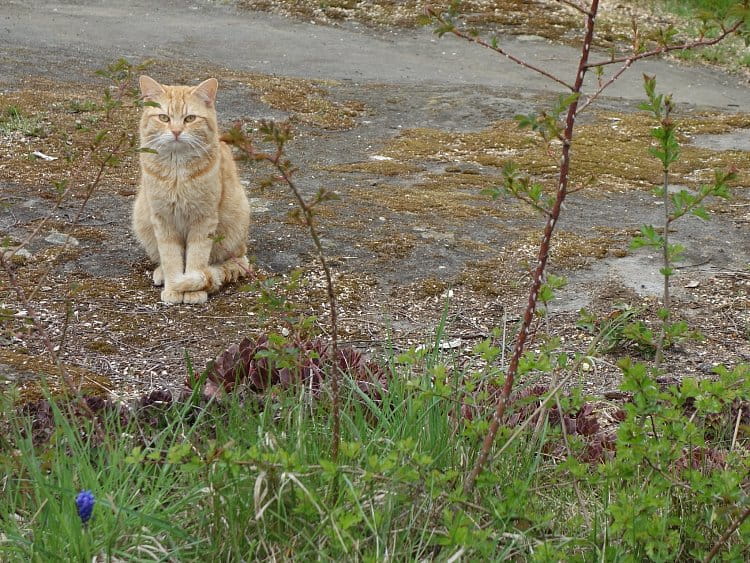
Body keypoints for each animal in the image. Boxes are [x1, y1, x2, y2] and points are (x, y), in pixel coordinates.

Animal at [134, 76, 251, 304]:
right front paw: (174, 287)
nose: (176, 131)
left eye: (189, 119)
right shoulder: (163, 219)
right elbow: (170, 258)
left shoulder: (203, 220)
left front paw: (192, 290)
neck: (177, 172)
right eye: (164, 118)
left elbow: (197, 259)